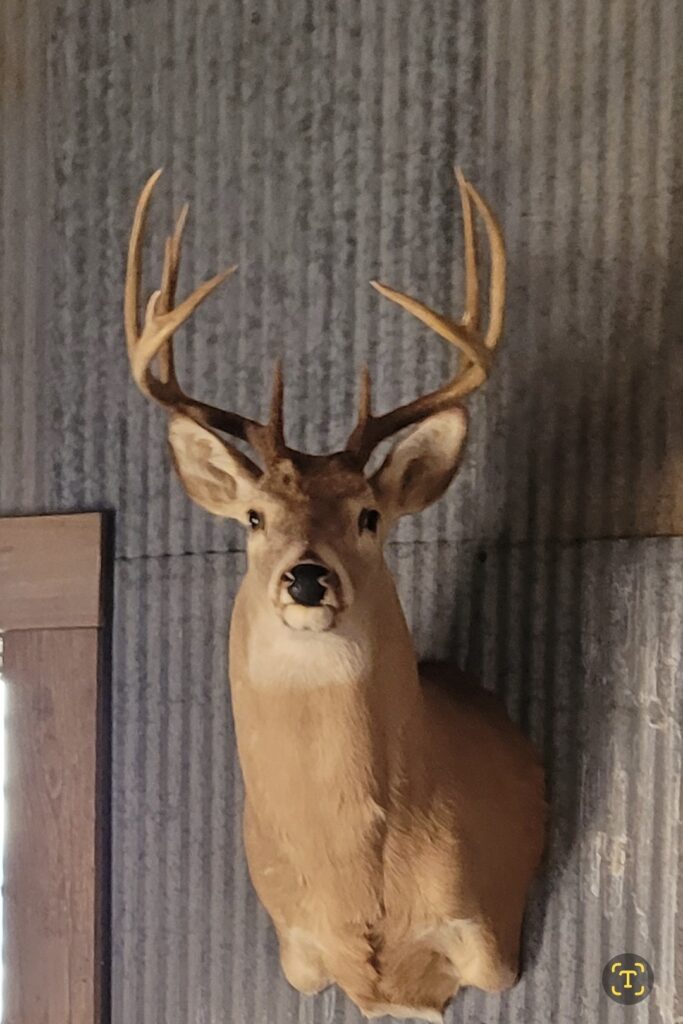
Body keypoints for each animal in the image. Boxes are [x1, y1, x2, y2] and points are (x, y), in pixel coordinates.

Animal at [124, 167, 546, 1022]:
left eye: (368, 514)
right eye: (255, 516)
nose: (307, 576)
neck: (359, 889)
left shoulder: (485, 940)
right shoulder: (303, 961)